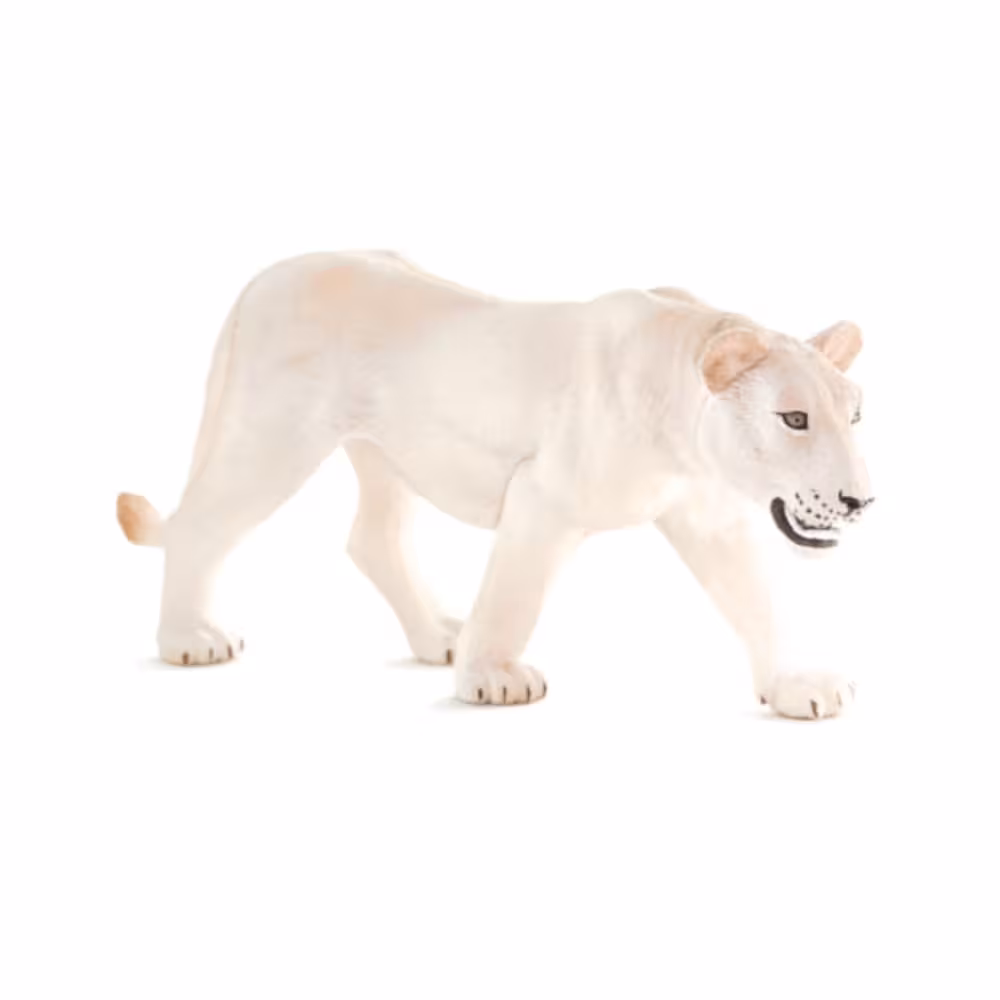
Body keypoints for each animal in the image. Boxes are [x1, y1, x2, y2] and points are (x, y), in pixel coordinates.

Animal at [117, 250, 873, 719]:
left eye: (856, 414)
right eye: (794, 418)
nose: (860, 501)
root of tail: (266, 276)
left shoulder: (710, 520)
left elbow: (759, 603)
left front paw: (792, 686)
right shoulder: (542, 498)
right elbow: (516, 595)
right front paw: (493, 677)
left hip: (384, 455)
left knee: (373, 539)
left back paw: (437, 635)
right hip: (273, 437)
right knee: (200, 524)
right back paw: (191, 637)